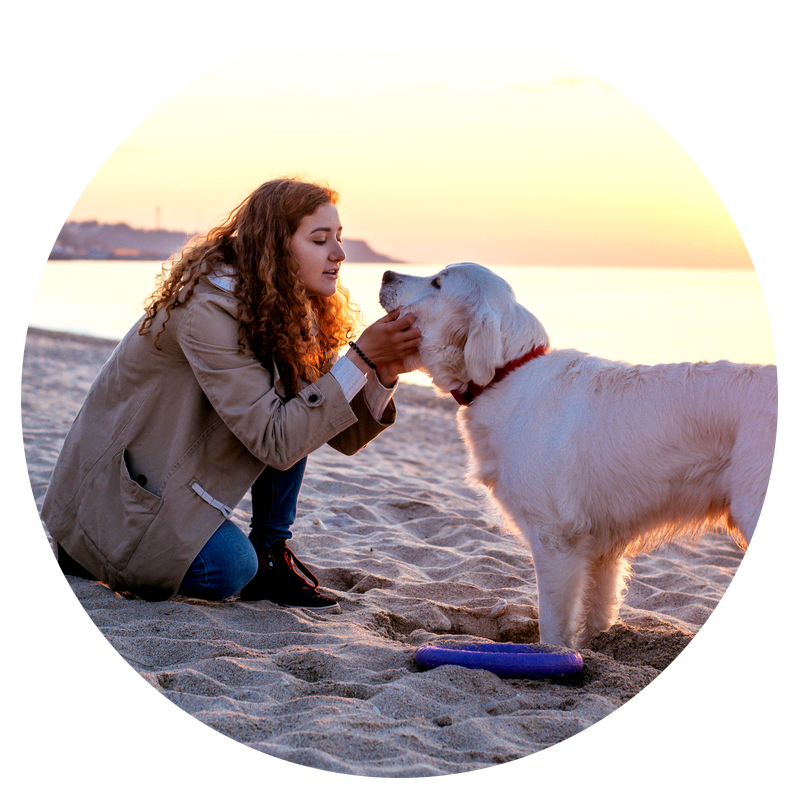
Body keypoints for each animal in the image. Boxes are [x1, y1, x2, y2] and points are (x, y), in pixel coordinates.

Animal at [380, 262, 776, 648]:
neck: (506, 376)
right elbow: (595, 613)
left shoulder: (555, 538)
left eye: (437, 283)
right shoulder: (601, 544)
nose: (385, 274)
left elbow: (554, 625)